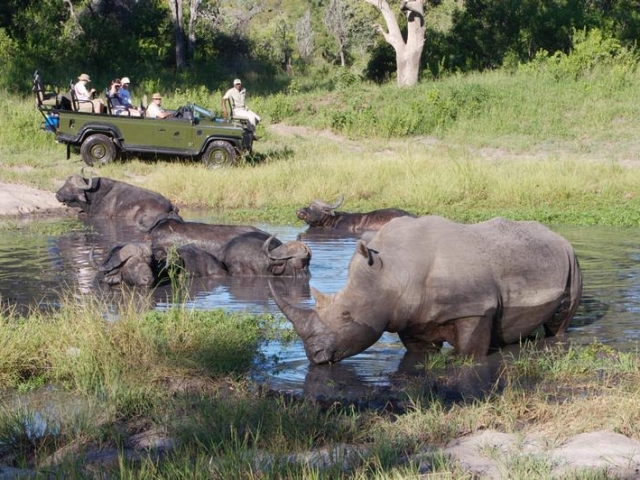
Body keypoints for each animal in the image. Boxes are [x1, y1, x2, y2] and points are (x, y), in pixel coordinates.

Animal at [268, 217, 584, 364]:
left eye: (346, 314)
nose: (314, 356)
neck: (392, 271)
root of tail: (558, 237)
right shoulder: (408, 315)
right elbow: (419, 353)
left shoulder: (475, 309)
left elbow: (469, 353)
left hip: (572, 261)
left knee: (560, 321)